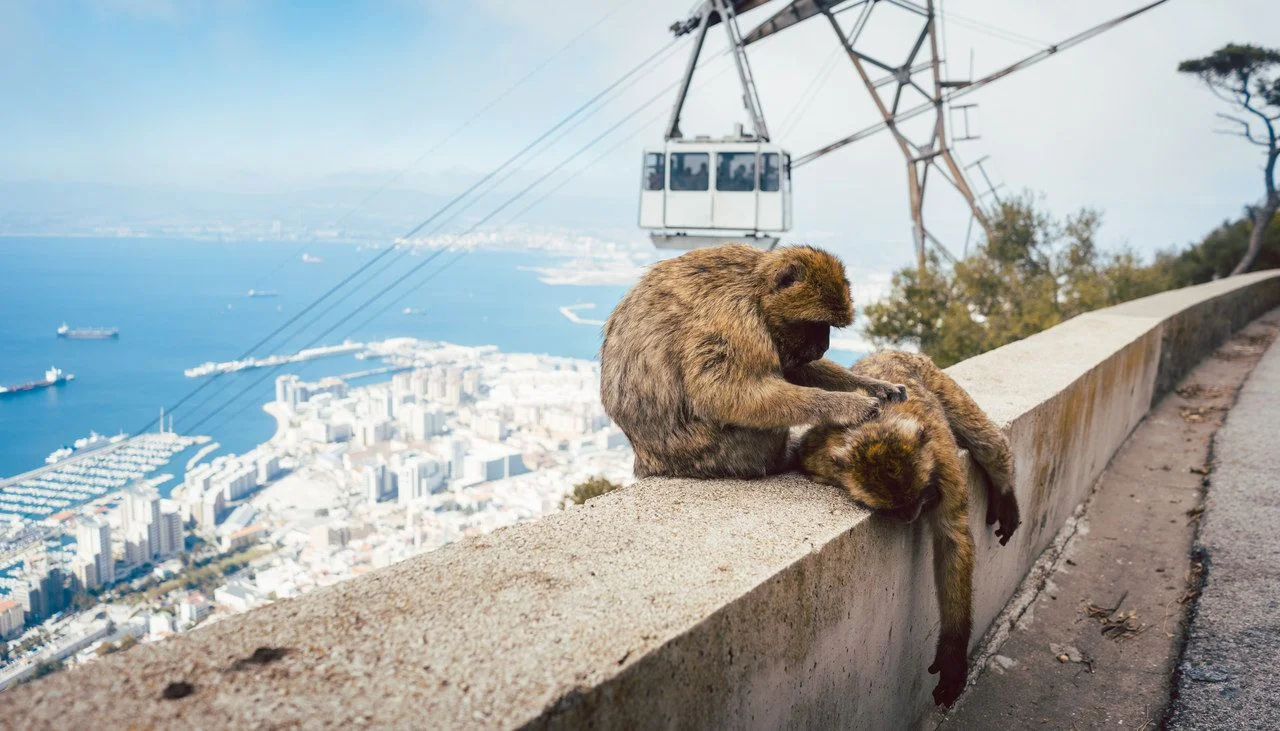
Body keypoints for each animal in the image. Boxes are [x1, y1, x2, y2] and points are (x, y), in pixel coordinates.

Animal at [600, 244, 907, 480]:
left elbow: (793, 369)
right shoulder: (734, 322)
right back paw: (783, 458)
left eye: (828, 326)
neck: (755, 288)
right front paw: (847, 405)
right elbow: (724, 394)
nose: (823, 347)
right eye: (816, 324)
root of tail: (648, 460)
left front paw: (876, 386)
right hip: (716, 454)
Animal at [797, 350, 1020, 708]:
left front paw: (953, 651)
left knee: (985, 439)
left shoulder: (942, 460)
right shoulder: (818, 454)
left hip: (937, 379)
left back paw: (1005, 492)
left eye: (918, 498)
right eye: (895, 509)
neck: (877, 426)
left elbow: (952, 536)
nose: (911, 516)